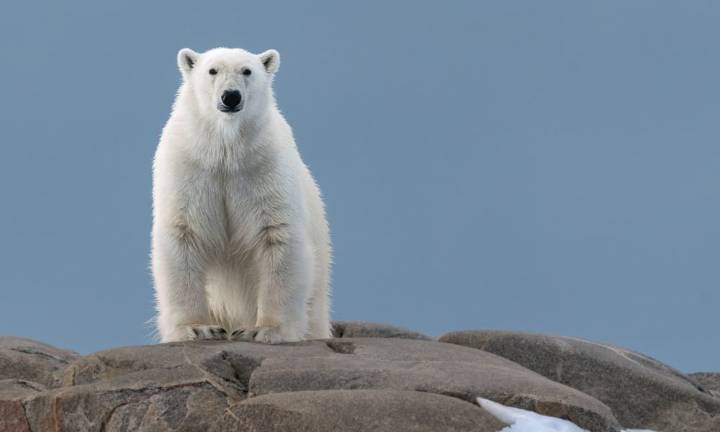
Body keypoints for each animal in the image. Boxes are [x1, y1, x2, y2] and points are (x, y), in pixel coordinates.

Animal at [151, 47, 332, 344]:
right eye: (212, 70)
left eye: (247, 71)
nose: (231, 96)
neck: (226, 149)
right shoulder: (189, 167)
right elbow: (184, 234)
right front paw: (197, 328)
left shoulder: (265, 168)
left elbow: (277, 235)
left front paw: (266, 330)